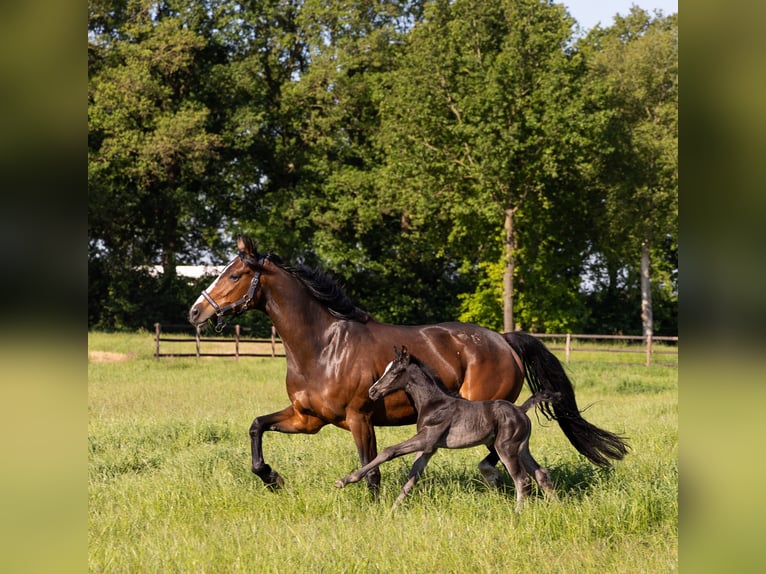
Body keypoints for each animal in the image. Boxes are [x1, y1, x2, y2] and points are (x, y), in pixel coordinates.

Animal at [188, 235, 628, 492]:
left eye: (234, 276)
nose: (195, 312)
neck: (323, 347)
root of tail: (503, 340)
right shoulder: (307, 419)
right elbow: (256, 426)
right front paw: (273, 478)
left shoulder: (359, 418)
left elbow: (372, 469)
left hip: (485, 410)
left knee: (498, 453)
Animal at [335, 346, 559, 510]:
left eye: (396, 371)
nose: (372, 391)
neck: (433, 403)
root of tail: (521, 409)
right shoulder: (428, 449)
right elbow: (411, 478)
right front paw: (392, 510)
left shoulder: (427, 438)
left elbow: (389, 451)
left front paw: (345, 480)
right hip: (521, 448)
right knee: (541, 474)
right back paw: (557, 507)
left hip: (506, 448)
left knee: (522, 480)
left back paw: (518, 513)